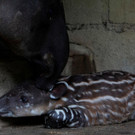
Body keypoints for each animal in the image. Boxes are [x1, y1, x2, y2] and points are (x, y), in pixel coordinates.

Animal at [0, 70, 134, 128]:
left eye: (24, 99)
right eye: (11, 89)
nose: (0, 105)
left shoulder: (88, 111)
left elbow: (57, 114)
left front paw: (50, 122)